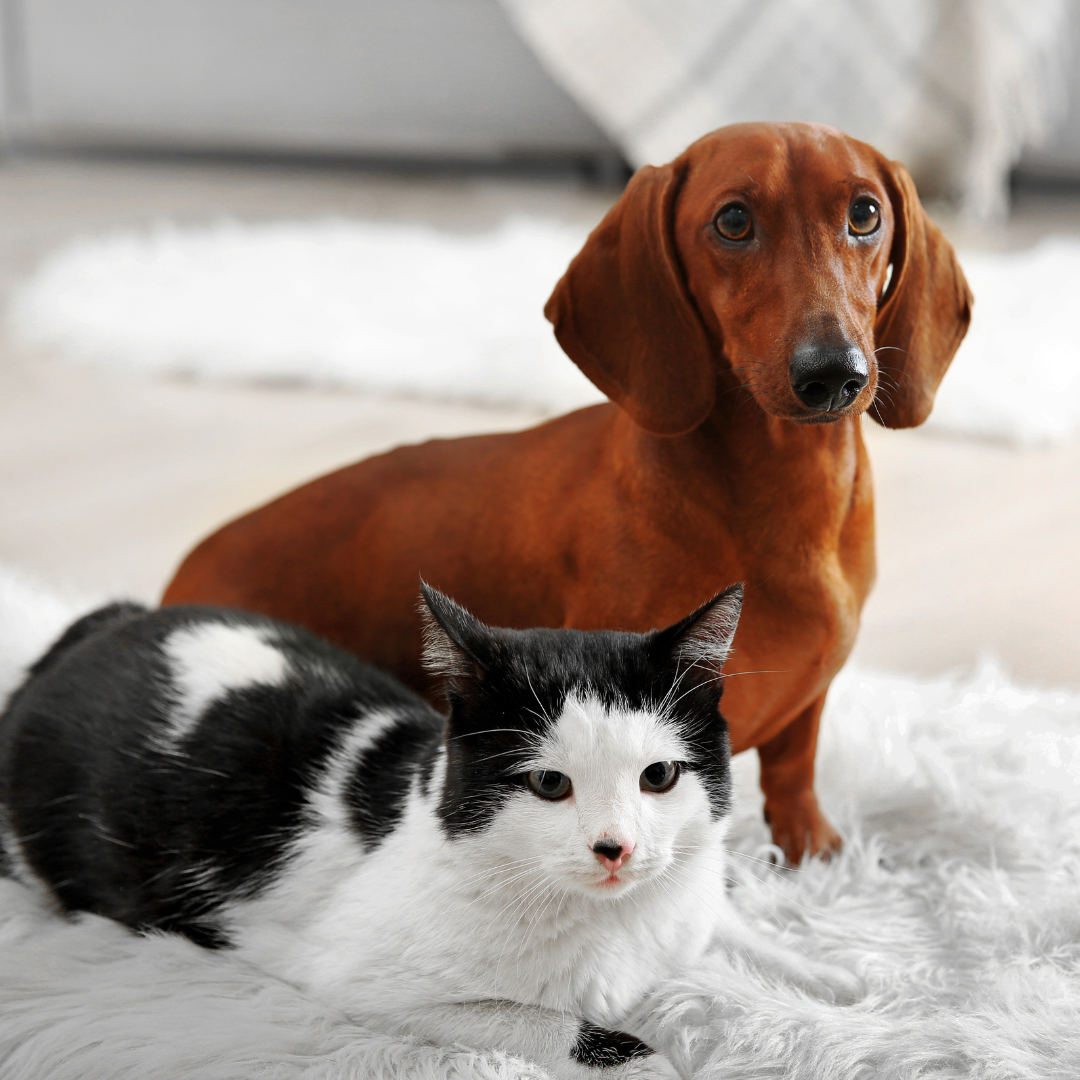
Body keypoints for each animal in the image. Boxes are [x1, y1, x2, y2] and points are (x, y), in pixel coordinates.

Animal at [2, 587, 859, 1075]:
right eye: (550, 784)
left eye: (659, 776)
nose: (616, 848)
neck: (619, 918)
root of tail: (101, 626)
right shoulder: (360, 981)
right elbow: (562, 1026)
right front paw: (651, 1062)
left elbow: (728, 925)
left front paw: (834, 979)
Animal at [164, 122, 976, 859]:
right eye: (734, 221)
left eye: (865, 213)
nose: (833, 373)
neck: (783, 497)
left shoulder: (804, 708)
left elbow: (794, 770)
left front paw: (813, 851)